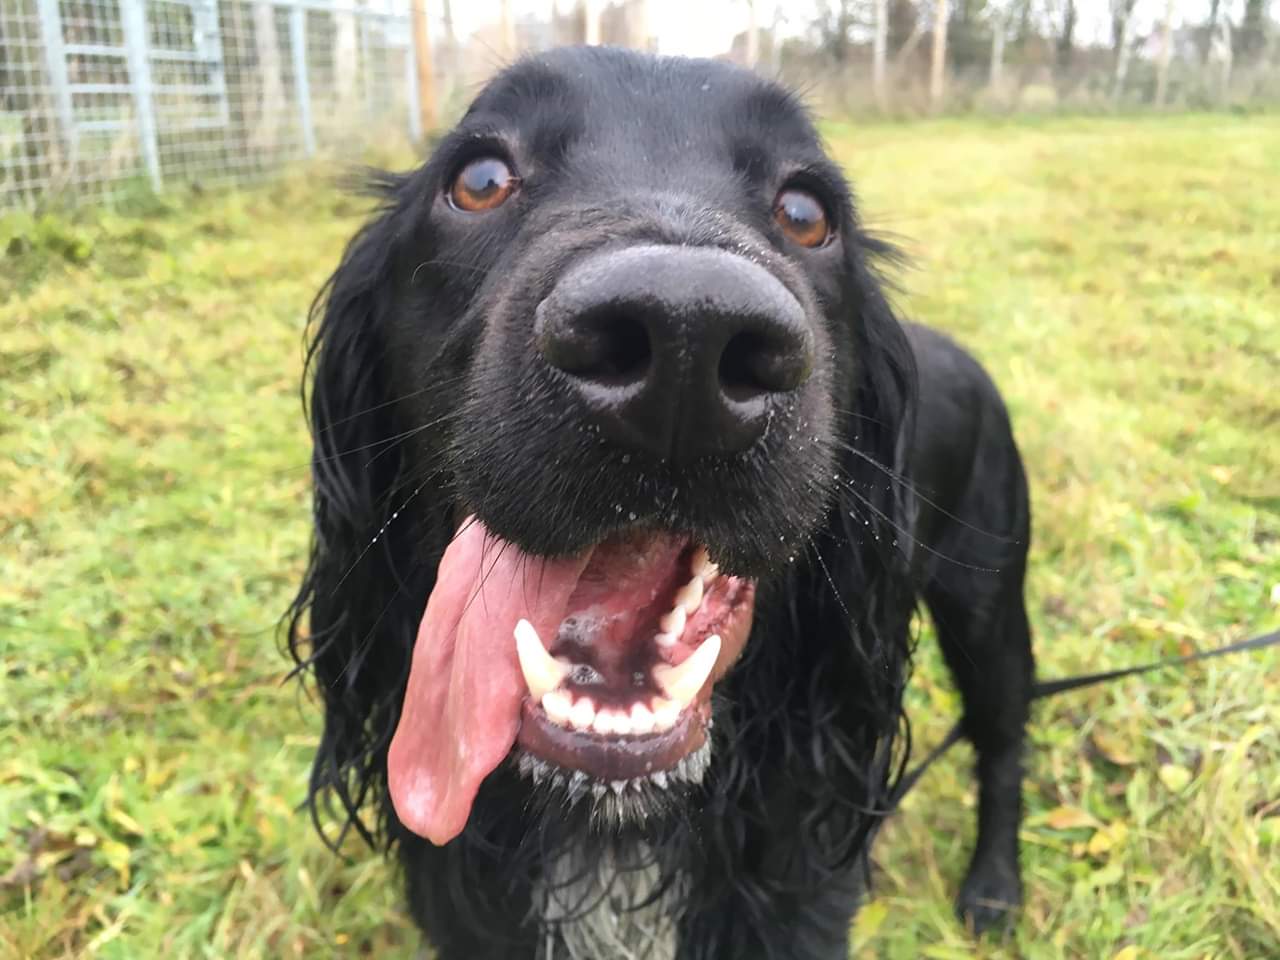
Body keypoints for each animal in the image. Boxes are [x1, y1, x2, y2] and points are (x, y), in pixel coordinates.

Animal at [288, 45, 1029, 960]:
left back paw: (993, 886)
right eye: (480, 178)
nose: (687, 337)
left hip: (989, 609)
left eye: (806, 211)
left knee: (1004, 745)